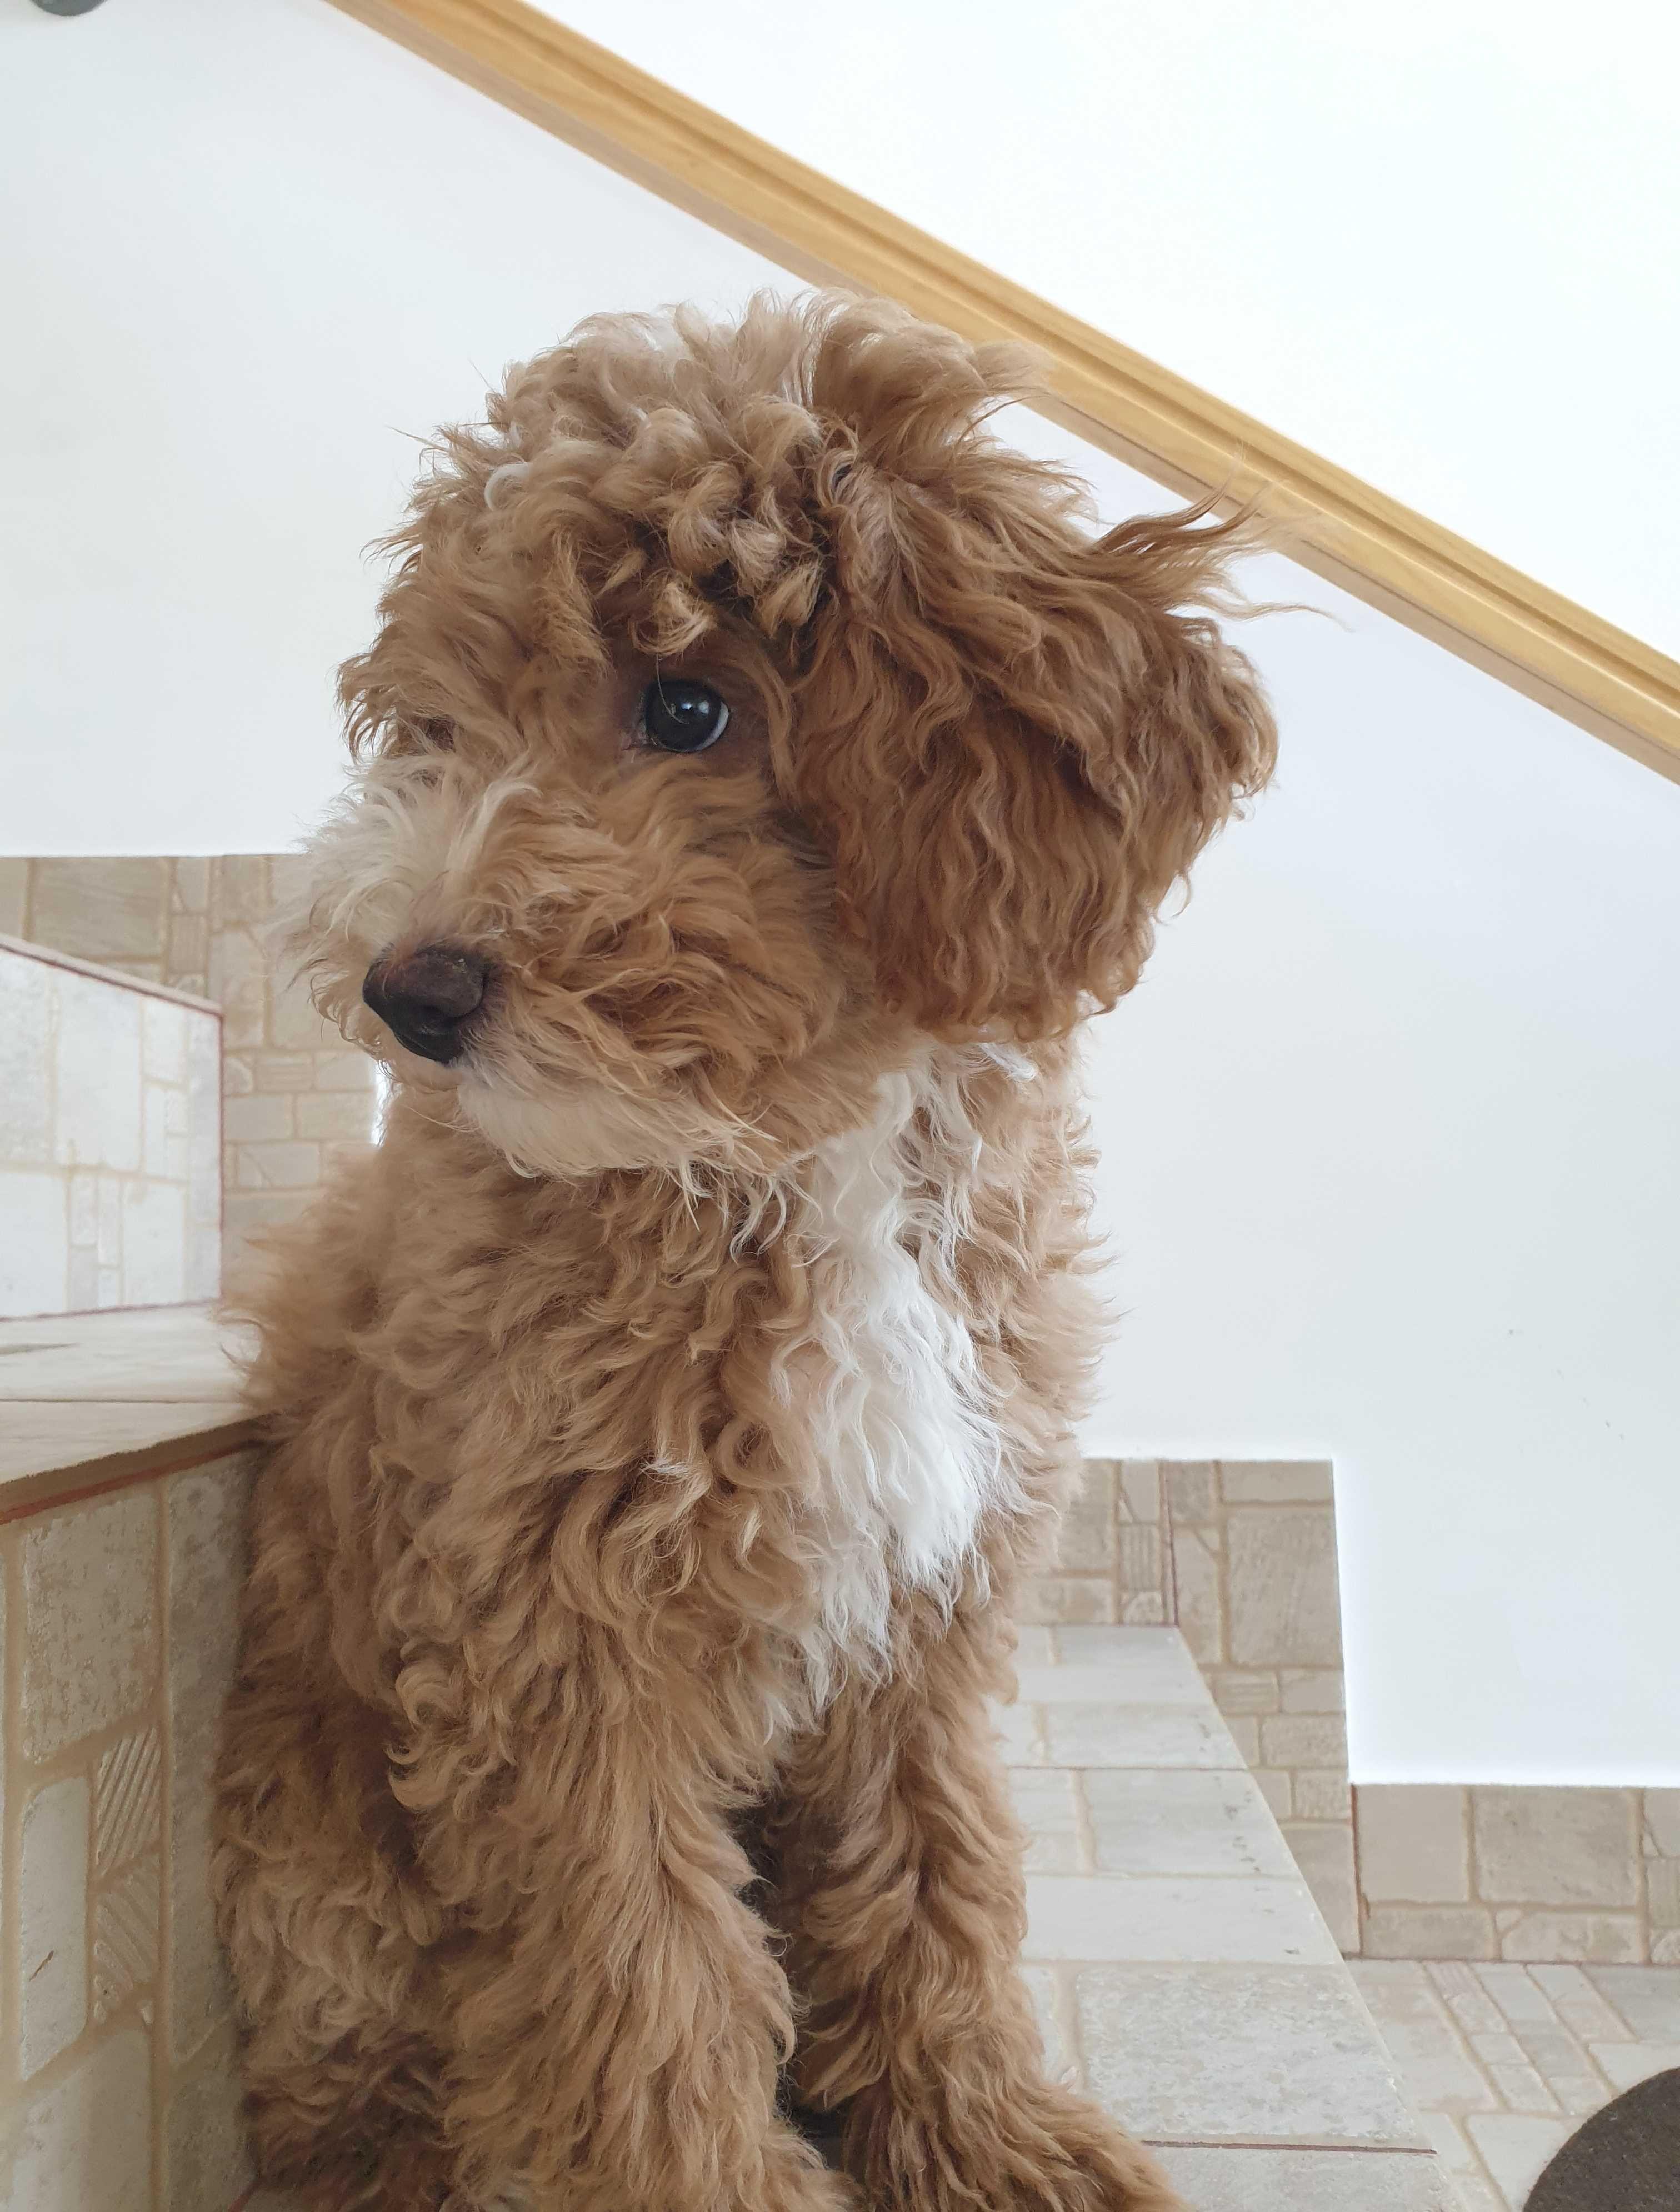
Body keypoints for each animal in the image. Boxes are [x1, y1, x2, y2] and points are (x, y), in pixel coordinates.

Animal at [212, 292, 1276, 2212]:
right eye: (441, 725)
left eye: (688, 703)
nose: (409, 991)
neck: (798, 1149)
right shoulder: (552, 1639)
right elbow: (639, 1979)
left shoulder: (931, 1608)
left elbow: (936, 1879)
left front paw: (986, 2137)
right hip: (319, 1879)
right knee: (361, 2095)